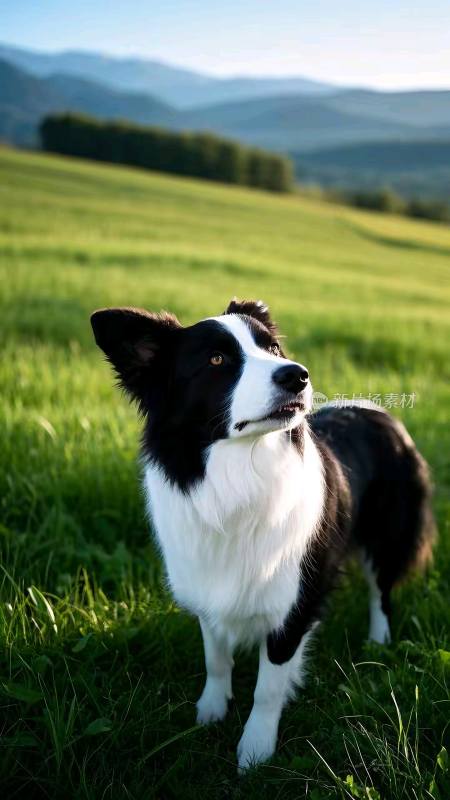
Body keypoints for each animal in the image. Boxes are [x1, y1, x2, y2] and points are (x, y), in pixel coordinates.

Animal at [90, 298, 432, 768]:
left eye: (272, 348)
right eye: (216, 360)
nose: (297, 374)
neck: (241, 470)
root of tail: (380, 411)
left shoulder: (294, 604)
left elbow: (269, 687)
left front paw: (255, 749)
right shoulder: (208, 586)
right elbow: (215, 658)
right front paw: (210, 710)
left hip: (388, 533)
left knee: (381, 591)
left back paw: (379, 643)